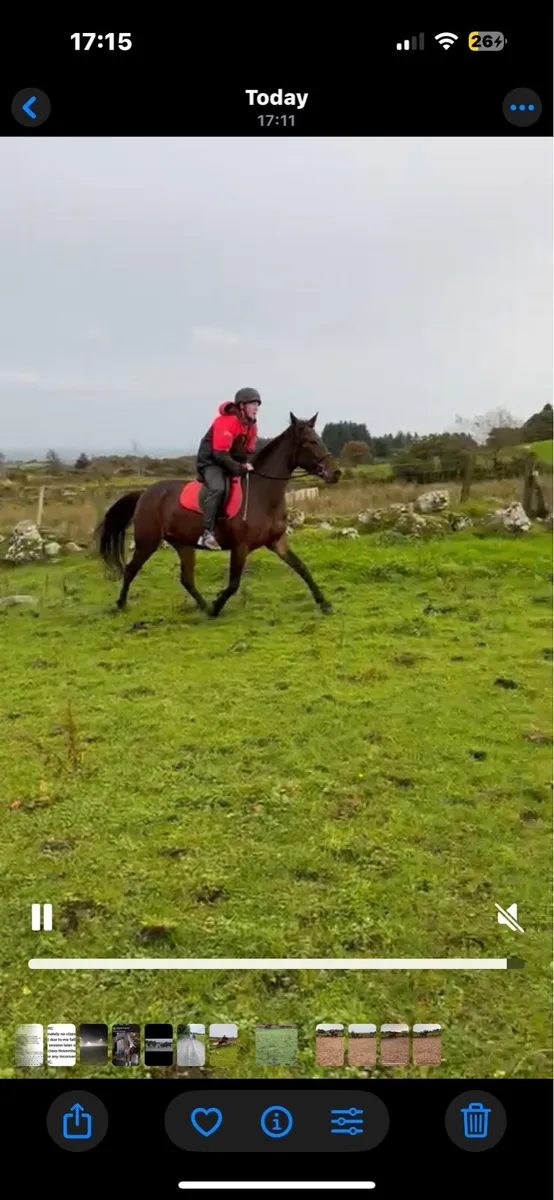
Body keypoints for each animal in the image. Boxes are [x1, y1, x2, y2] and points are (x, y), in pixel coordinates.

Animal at [96, 413, 341, 618]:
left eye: (319, 438)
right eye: (310, 441)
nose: (336, 473)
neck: (261, 494)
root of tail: (145, 493)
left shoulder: (277, 542)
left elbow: (302, 568)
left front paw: (325, 603)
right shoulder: (240, 546)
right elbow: (233, 583)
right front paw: (216, 606)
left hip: (183, 544)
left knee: (186, 579)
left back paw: (203, 606)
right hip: (148, 542)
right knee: (131, 569)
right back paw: (120, 604)